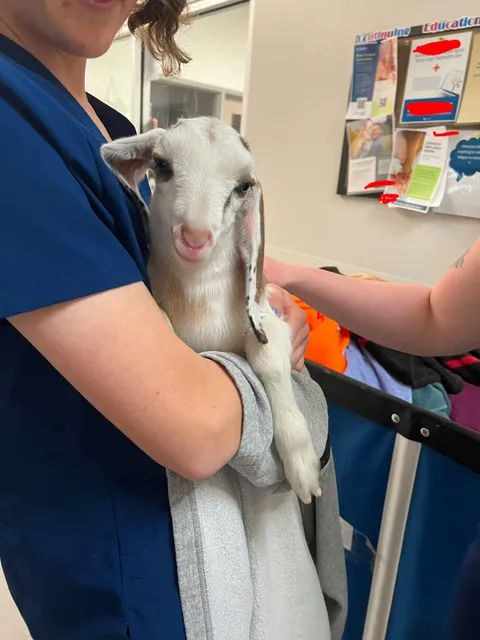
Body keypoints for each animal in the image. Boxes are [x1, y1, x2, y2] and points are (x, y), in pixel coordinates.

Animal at [101, 116, 321, 504]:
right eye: (162, 164)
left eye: (243, 185)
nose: (194, 237)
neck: (200, 298)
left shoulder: (267, 322)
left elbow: (268, 361)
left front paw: (303, 468)